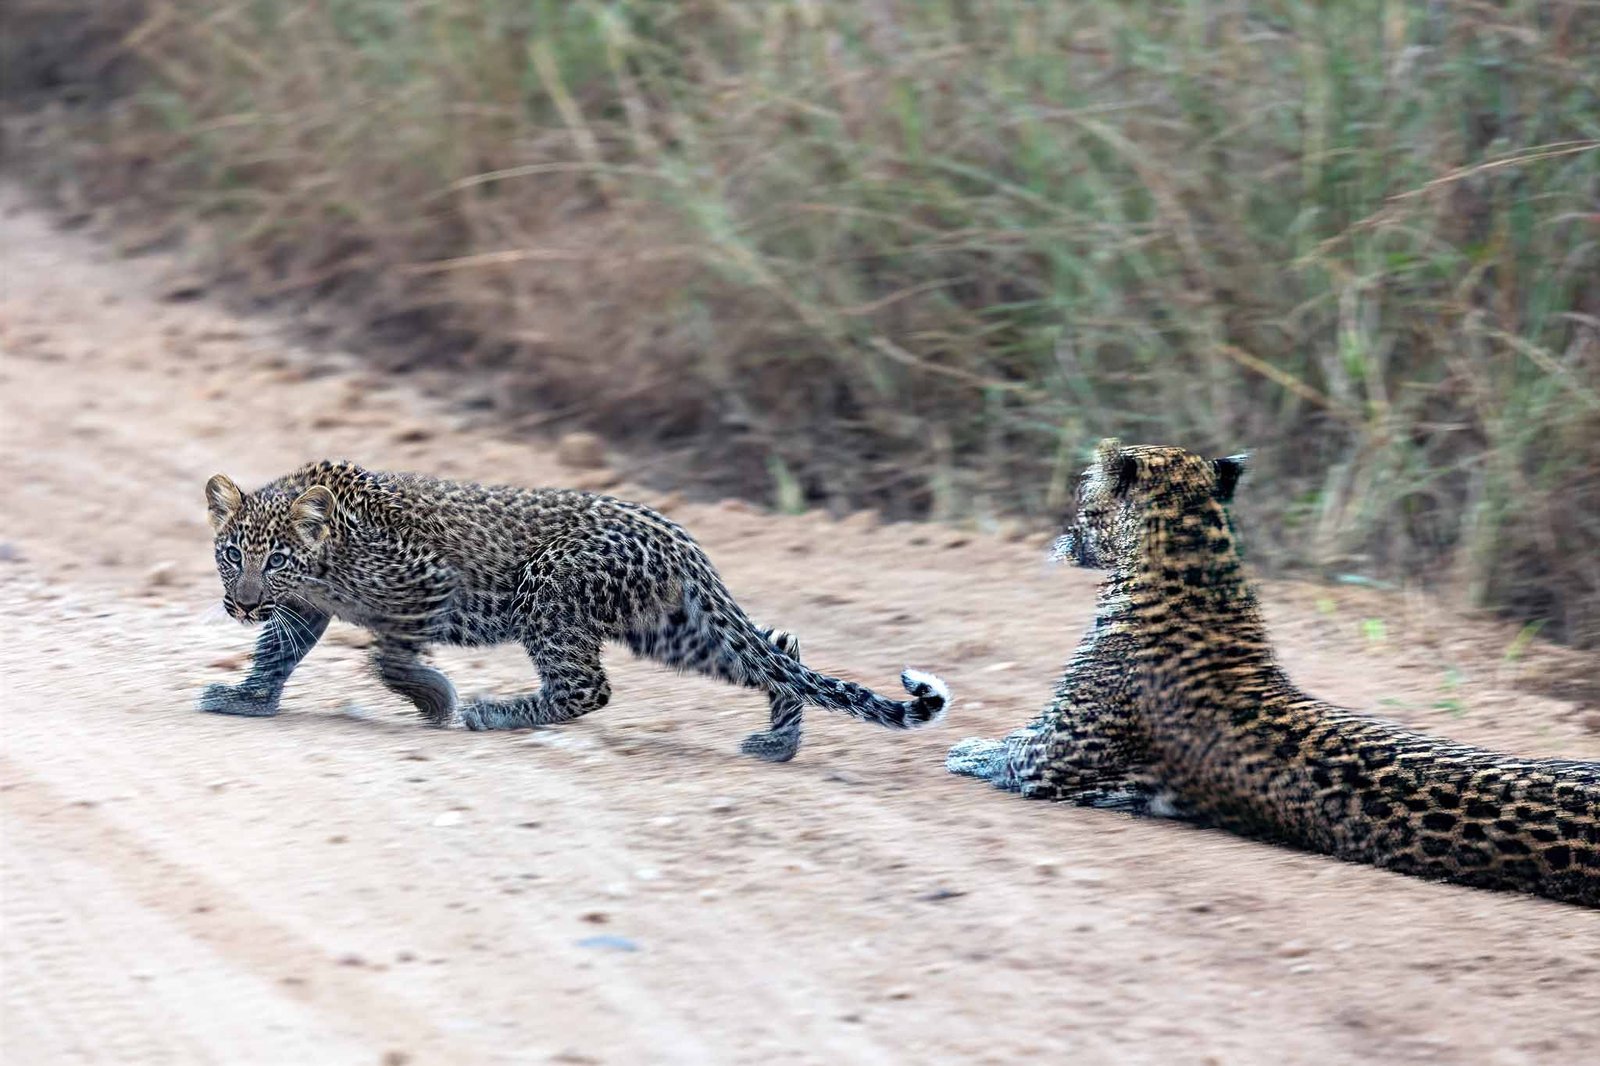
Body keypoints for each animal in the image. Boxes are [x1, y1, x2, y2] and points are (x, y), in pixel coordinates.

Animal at [198, 460, 948, 762]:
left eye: (276, 558)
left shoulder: (429, 583)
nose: (242, 602)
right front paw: (247, 698)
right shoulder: (302, 612)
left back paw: (494, 714)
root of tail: (678, 536)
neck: (328, 556)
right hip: (673, 629)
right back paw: (779, 745)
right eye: (232, 553)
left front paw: (437, 699)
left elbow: (389, 655)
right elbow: (277, 652)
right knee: (781, 650)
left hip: (550, 592)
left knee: (588, 687)